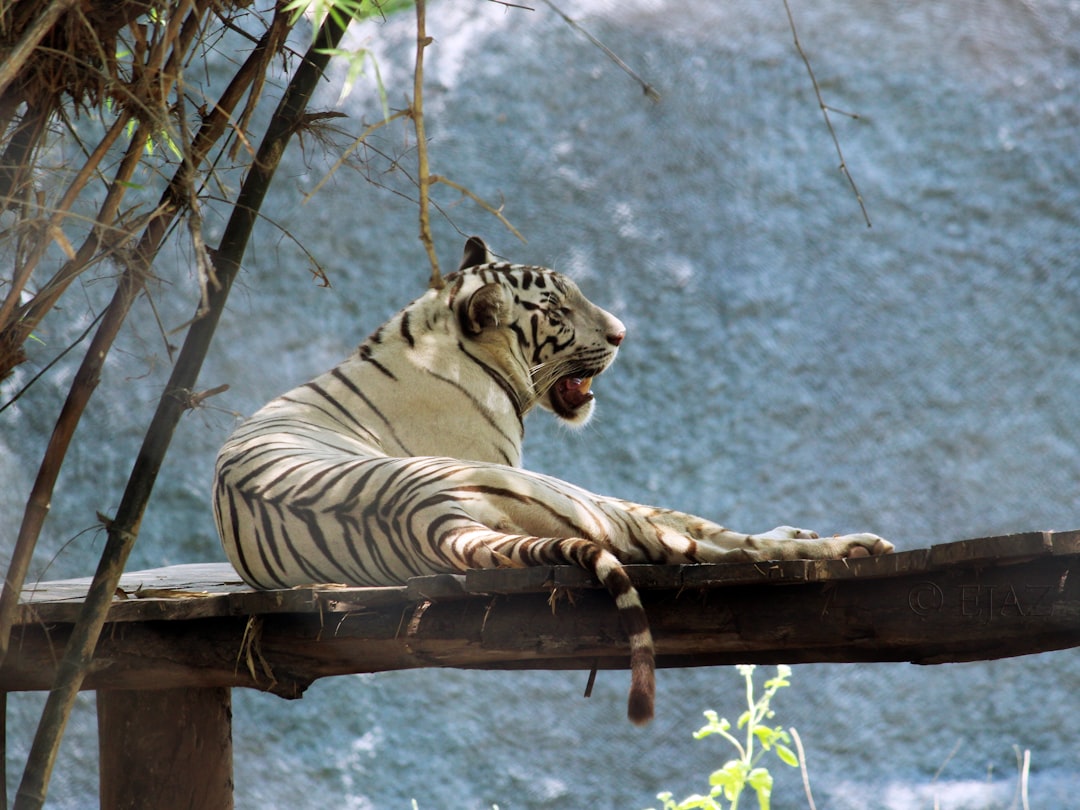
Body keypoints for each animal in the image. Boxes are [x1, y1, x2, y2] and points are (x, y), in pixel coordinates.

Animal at [212, 237, 894, 725]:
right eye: (561, 310)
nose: (622, 333)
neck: (438, 334)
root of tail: (427, 516)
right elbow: (694, 523)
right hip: (578, 500)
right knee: (710, 547)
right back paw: (850, 544)